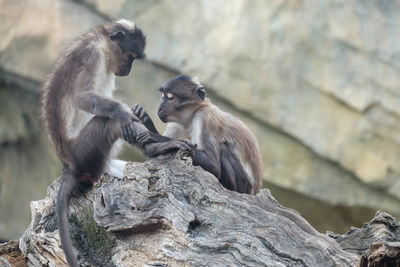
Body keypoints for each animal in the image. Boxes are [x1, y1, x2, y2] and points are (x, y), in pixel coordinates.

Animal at [131, 74, 262, 196]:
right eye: (163, 96)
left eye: (170, 97)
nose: (160, 108)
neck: (192, 115)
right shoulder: (177, 123)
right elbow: (152, 149)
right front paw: (146, 120)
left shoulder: (204, 117)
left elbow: (213, 165)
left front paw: (163, 139)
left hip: (244, 185)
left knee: (224, 148)